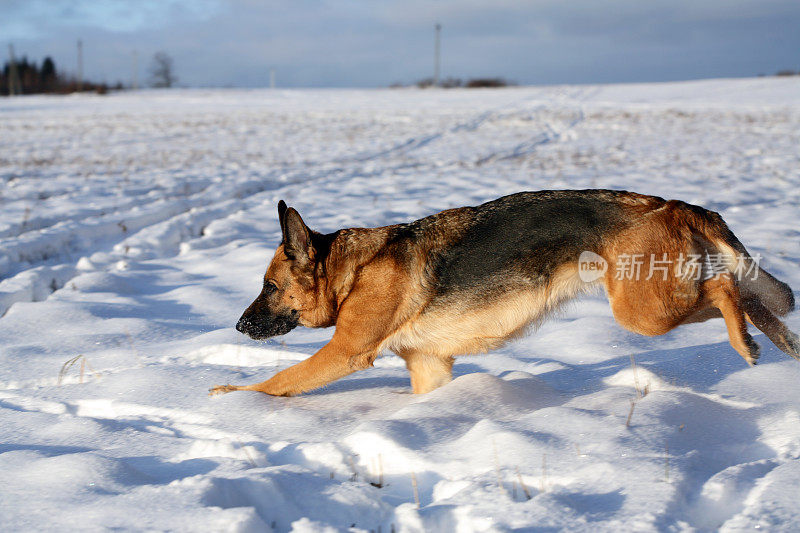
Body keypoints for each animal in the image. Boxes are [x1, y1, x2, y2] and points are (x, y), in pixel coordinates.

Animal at [209, 190, 796, 394]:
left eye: (269, 286)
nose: (237, 325)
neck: (353, 272)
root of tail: (674, 204)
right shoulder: (430, 368)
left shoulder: (344, 352)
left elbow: (279, 382)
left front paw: (234, 400)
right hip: (654, 302)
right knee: (752, 296)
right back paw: (776, 339)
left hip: (643, 310)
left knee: (725, 287)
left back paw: (746, 343)